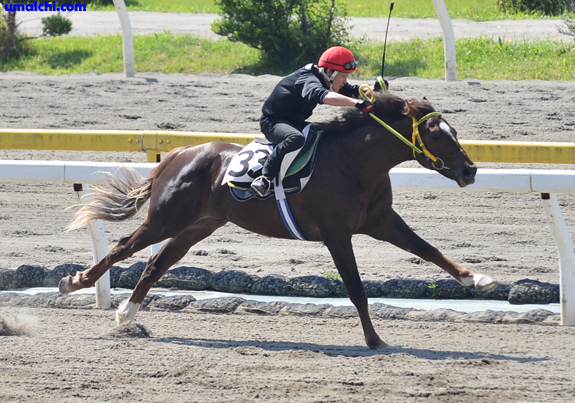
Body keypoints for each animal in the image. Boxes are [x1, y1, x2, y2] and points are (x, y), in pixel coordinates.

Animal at [59, 91, 498, 349]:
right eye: (437, 134)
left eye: (453, 130)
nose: (470, 170)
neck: (353, 163)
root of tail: (178, 153)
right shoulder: (337, 233)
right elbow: (356, 289)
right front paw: (374, 340)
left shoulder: (381, 221)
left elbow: (429, 249)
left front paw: (477, 279)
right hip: (166, 219)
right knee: (123, 248)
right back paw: (75, 281)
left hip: (198, 225)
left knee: (154, 263)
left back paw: (126, 316)